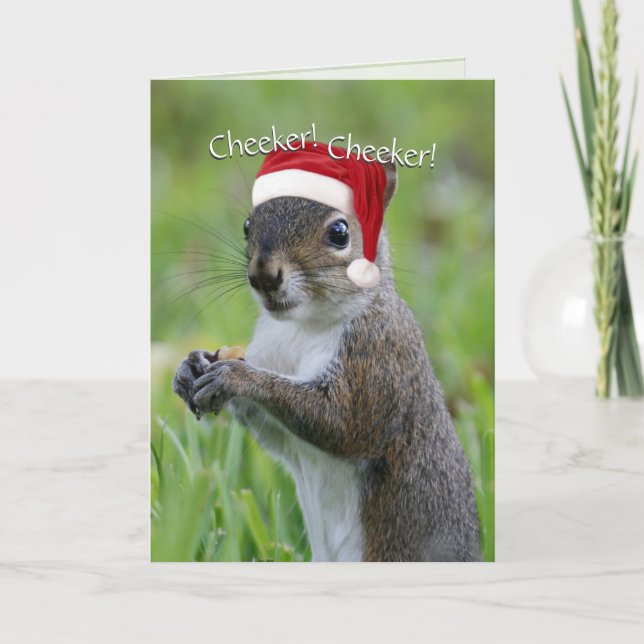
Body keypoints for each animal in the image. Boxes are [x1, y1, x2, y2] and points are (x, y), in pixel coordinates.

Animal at [173, 158, 481, 562]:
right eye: (247, 225)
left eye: (339, 232)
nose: (263, 275)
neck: (302, 327)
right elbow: (275, 432)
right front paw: (191, 366)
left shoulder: (377, 358)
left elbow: (342, 424)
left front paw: (236, 377)